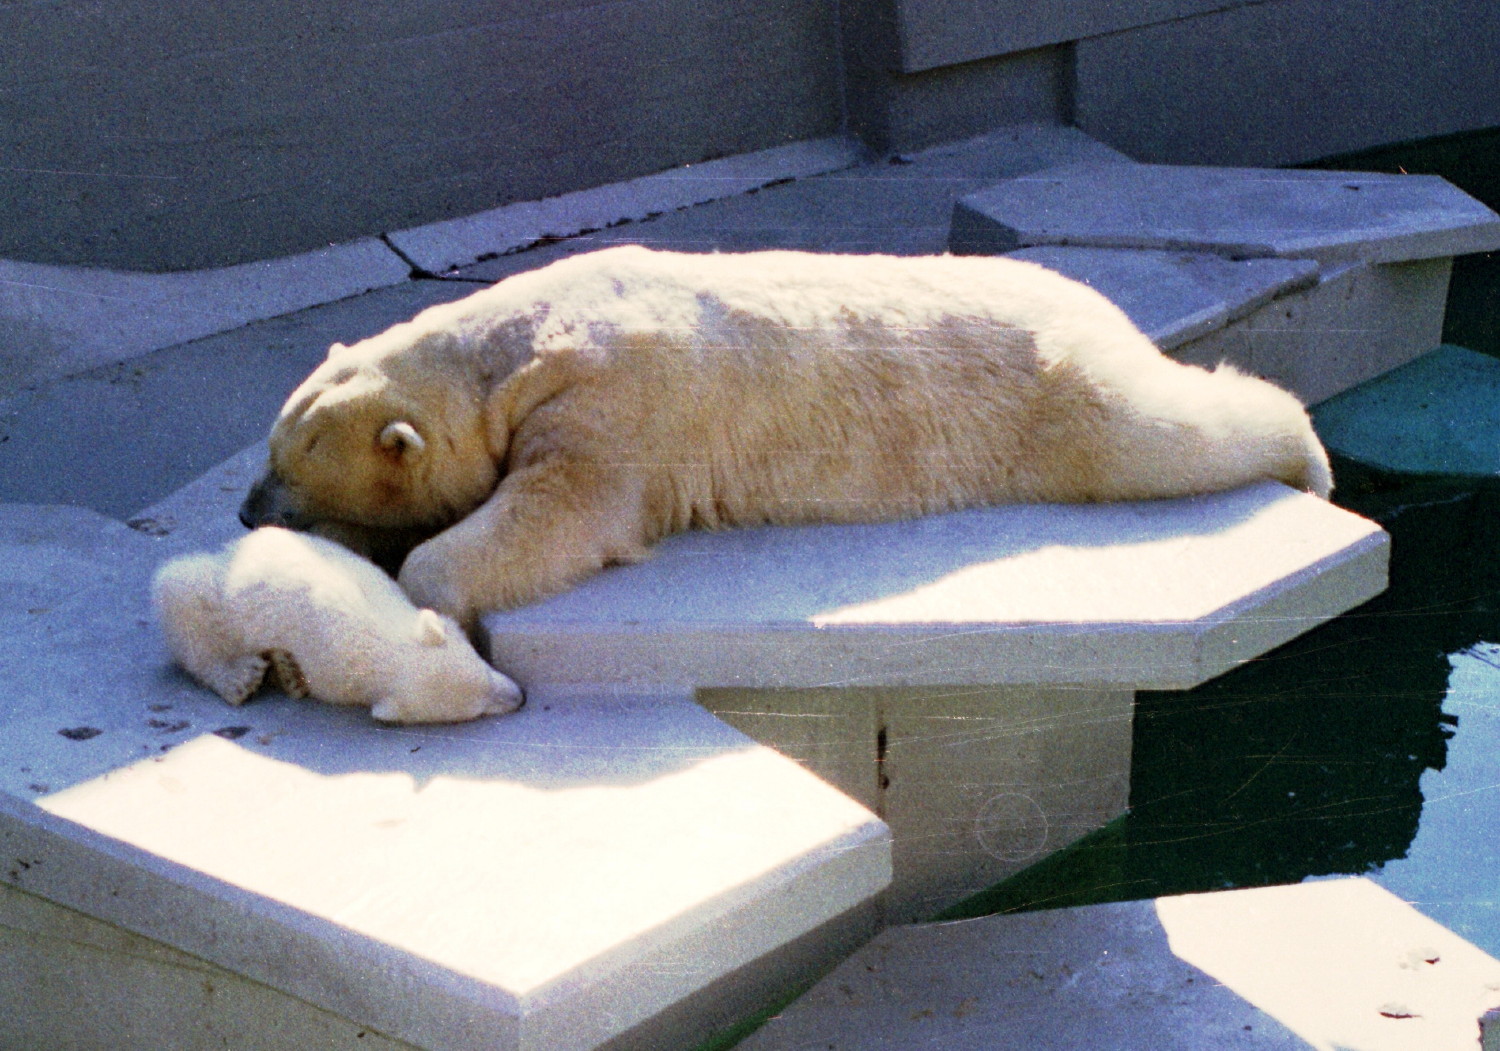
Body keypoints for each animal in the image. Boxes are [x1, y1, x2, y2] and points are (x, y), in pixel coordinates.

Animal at [240, 245, 1332, 623]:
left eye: (291, 461)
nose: (247, 510)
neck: (514, 351)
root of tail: (1095, 302)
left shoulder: (613, 406)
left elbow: (564, 513)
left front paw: (417, 576)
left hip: (1051, 401)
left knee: (1158, 435)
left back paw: (1308, 454)